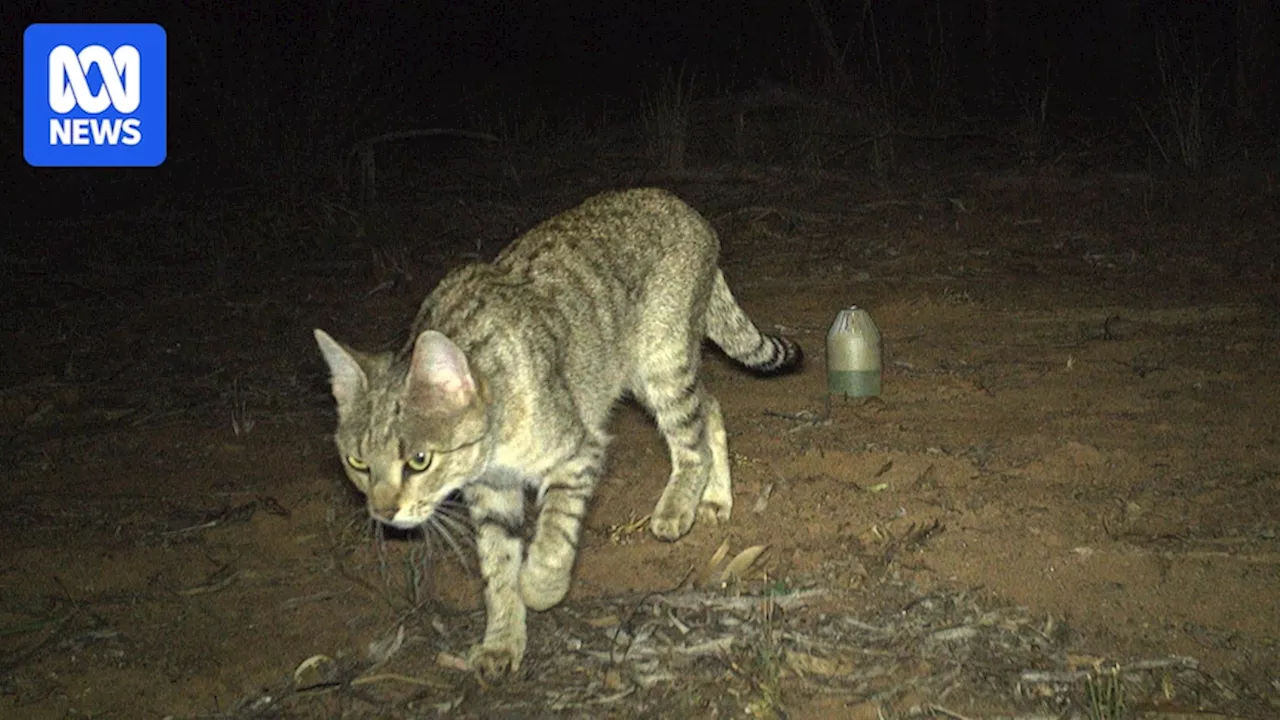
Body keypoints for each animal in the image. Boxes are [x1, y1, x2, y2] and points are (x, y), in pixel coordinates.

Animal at [312, 188, 798, 676]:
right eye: (357, 463)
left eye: (419, 460)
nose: (383, 513)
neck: (495, 439)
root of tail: (681, 204)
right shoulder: (490, 494)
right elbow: (497, 568)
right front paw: (502, 640)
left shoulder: (578, 454)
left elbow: (552, 538)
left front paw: (540, 587)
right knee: (710, 410)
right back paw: (714, 499)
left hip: (661, 362)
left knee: (692, 438)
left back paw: (679, 506)